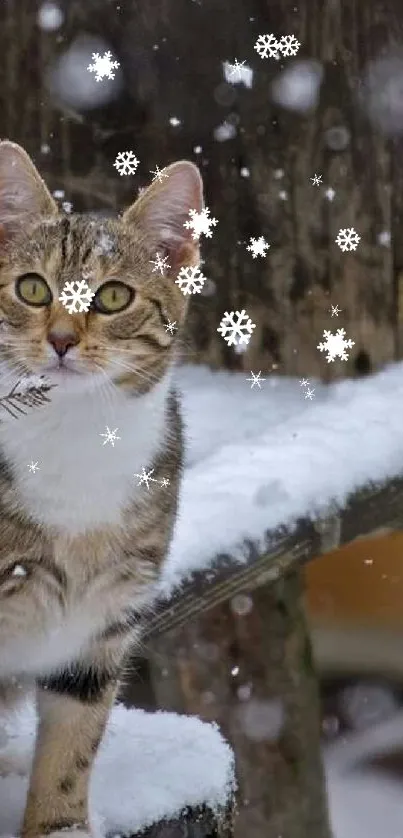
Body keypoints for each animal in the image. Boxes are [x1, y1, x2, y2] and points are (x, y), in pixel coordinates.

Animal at [0, 141, 204, 836]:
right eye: (31, 288)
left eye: (113, 296)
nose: (61, 340)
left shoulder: (106, 613)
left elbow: (74, 739)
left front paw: (58, 823)